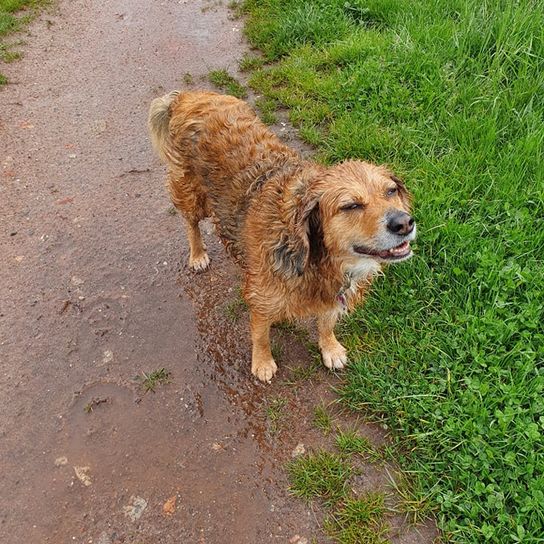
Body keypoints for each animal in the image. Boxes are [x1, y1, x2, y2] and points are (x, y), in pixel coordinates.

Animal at [149, 90, 416, 382]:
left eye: (391, 191)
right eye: (351, 206)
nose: (405, 223)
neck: (313, 255)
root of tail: (189, 95)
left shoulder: (333, 293)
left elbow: (326, 322)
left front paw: (330, 347)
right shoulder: (261, 297)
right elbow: (260, 334)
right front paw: (263, 362)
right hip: (190, 193)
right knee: (191, 224)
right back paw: (197, 254)